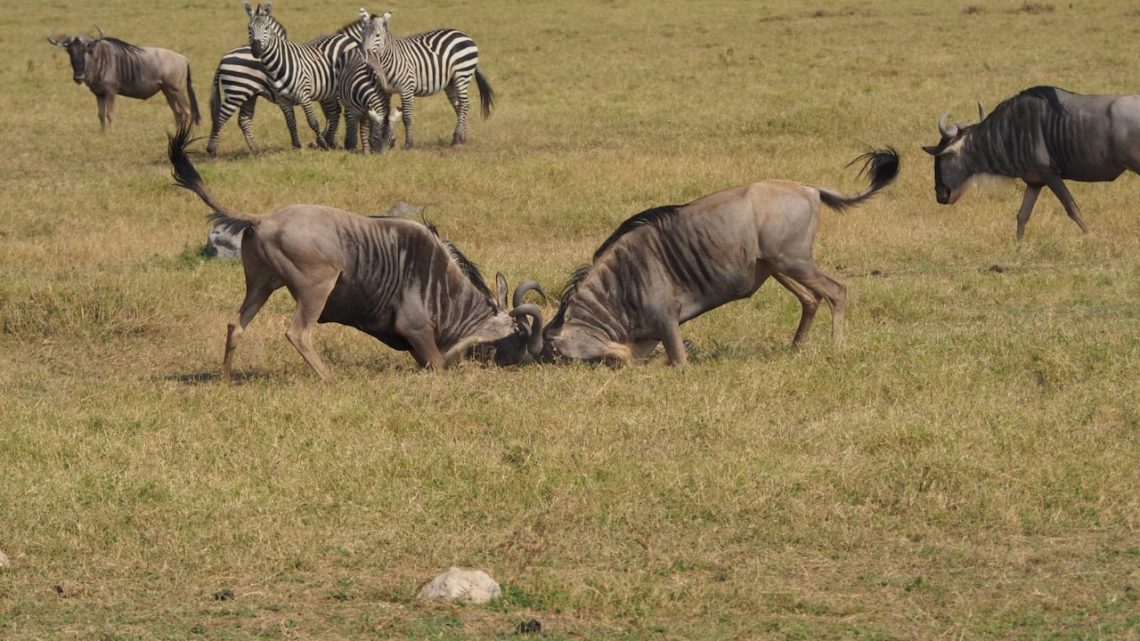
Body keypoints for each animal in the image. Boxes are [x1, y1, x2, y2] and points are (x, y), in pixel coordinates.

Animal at [245, 3, 355, 149]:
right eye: (249, 28)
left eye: (266, 28)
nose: (256, 50)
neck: (277, 66)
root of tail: (342, 36)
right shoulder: (282, 100)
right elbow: (290, 123)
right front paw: (297, 145)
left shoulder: (304, 96)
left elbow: (313, 121)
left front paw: (323, 144)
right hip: (329, 91)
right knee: (334, 112)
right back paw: (331, 141)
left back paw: (336, 142)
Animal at [364, 11, 490, 147]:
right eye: (363, 35)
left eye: (377, 35)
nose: (366, 56)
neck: (389, 60)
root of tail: (463, 35)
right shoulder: (386, 91)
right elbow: (383, 115)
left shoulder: (406, 88)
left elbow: (406, 117)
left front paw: (408, 144)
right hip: (451, 83)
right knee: (459, 106)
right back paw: (462, 138)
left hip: (462, 74)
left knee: (465, 105)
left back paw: (457, 140)